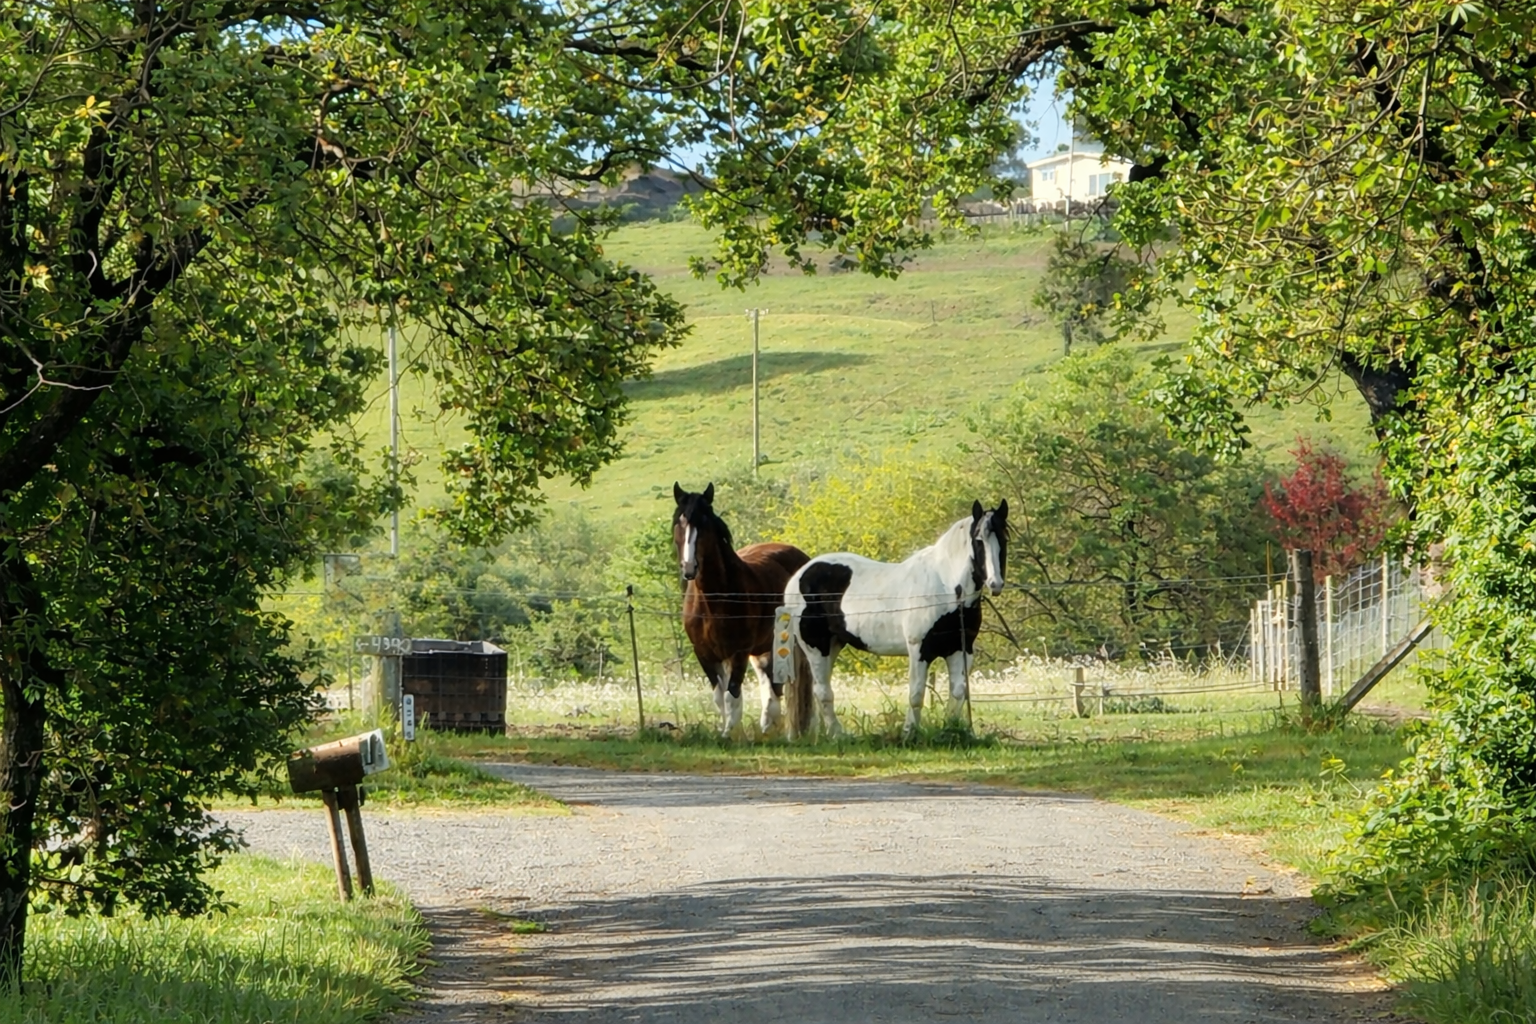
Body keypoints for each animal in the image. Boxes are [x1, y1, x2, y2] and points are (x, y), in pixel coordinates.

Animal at [673, 482, 812, 736]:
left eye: (705, 523)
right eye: (680, 522)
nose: (689, 568)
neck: (714, 600)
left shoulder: (739, 652)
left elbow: (732, 696)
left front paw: (731, 734)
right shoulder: (704, 653)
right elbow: (720, 697)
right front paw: (727, 732)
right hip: (764, 649)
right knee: (772, 691)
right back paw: (768, 730)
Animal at [783, 500, 1009, 738]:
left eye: (1004, 538)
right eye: (978, 540)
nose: (995, 584)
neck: (945, 585)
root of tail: (799, 575)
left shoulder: (960, 649)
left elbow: (958, 692)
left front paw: (950, 729)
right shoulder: (919, 649)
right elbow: (916, 694)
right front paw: (908, 734)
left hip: (834, 644)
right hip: (816, 647)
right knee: (822, 691)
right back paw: (838, 735)